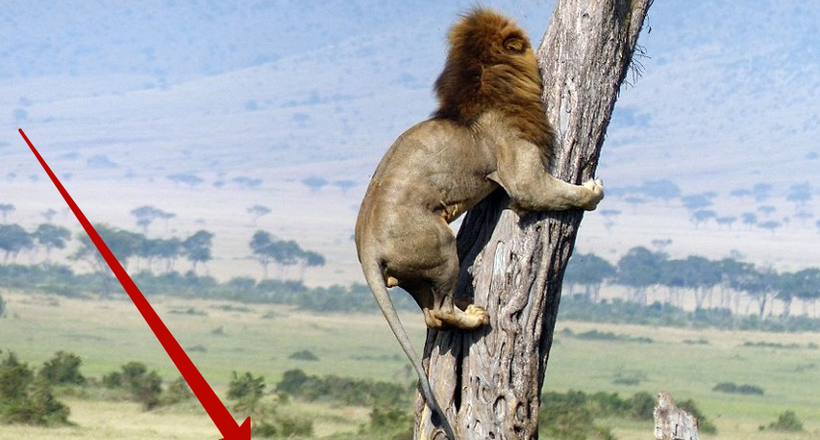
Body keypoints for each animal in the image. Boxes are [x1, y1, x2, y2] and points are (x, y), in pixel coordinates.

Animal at [352, 7, 604, 436]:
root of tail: (365, 244)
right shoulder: (523, 177)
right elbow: (557, 192)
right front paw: (592, 190)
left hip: (419, 270)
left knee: (431, 314)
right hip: (441, 247)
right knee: (440, 311)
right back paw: (477, 315)